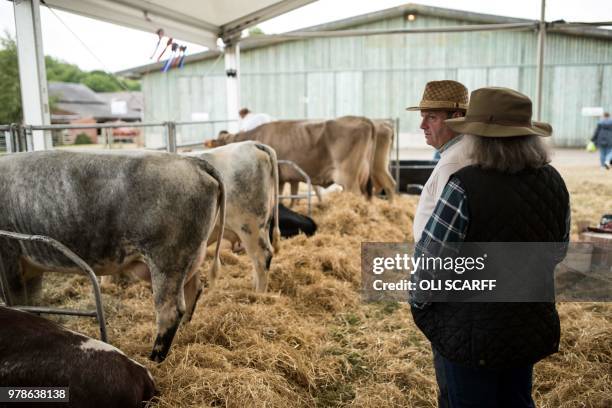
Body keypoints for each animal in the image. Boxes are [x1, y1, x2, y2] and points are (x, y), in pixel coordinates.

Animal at [0, 151, 225, 362]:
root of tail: (192, 162)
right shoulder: (30, 267)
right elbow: (33, 303)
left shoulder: (9, 257)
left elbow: (18, 303)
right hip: (189, 258)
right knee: (194, 288)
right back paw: (185, 332)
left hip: (167, 259)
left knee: (170, 310)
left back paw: (154, 358)